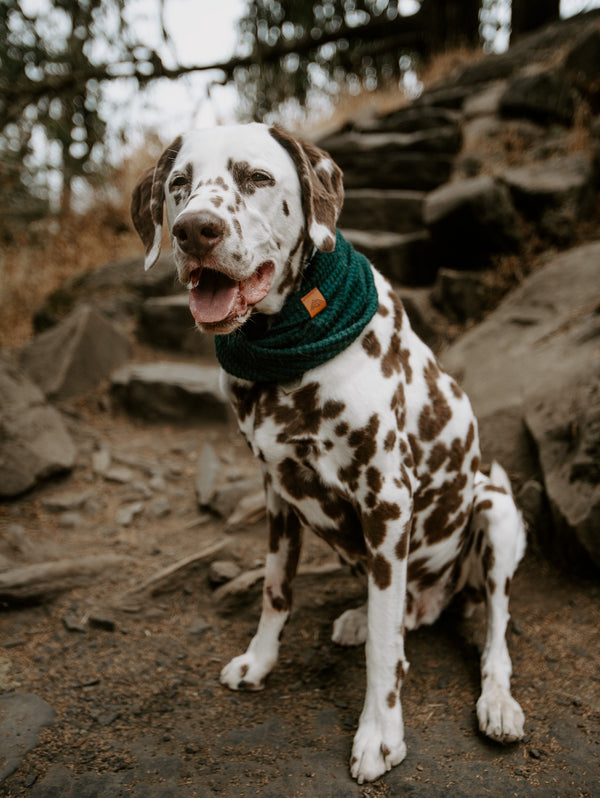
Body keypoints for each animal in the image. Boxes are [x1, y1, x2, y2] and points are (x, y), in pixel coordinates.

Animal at [131, 125, 524, 788]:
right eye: (180, 184)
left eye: (256, 178)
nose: (194, 230)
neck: (287, 353)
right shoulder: (277, 490)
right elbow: (275, 590)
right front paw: (259, 660)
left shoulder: (387, 502)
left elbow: (386, 652)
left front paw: (381, 733)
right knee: (399, 609)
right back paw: (363, 616)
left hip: (495, 509)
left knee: (492, 629)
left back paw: (496, 700)